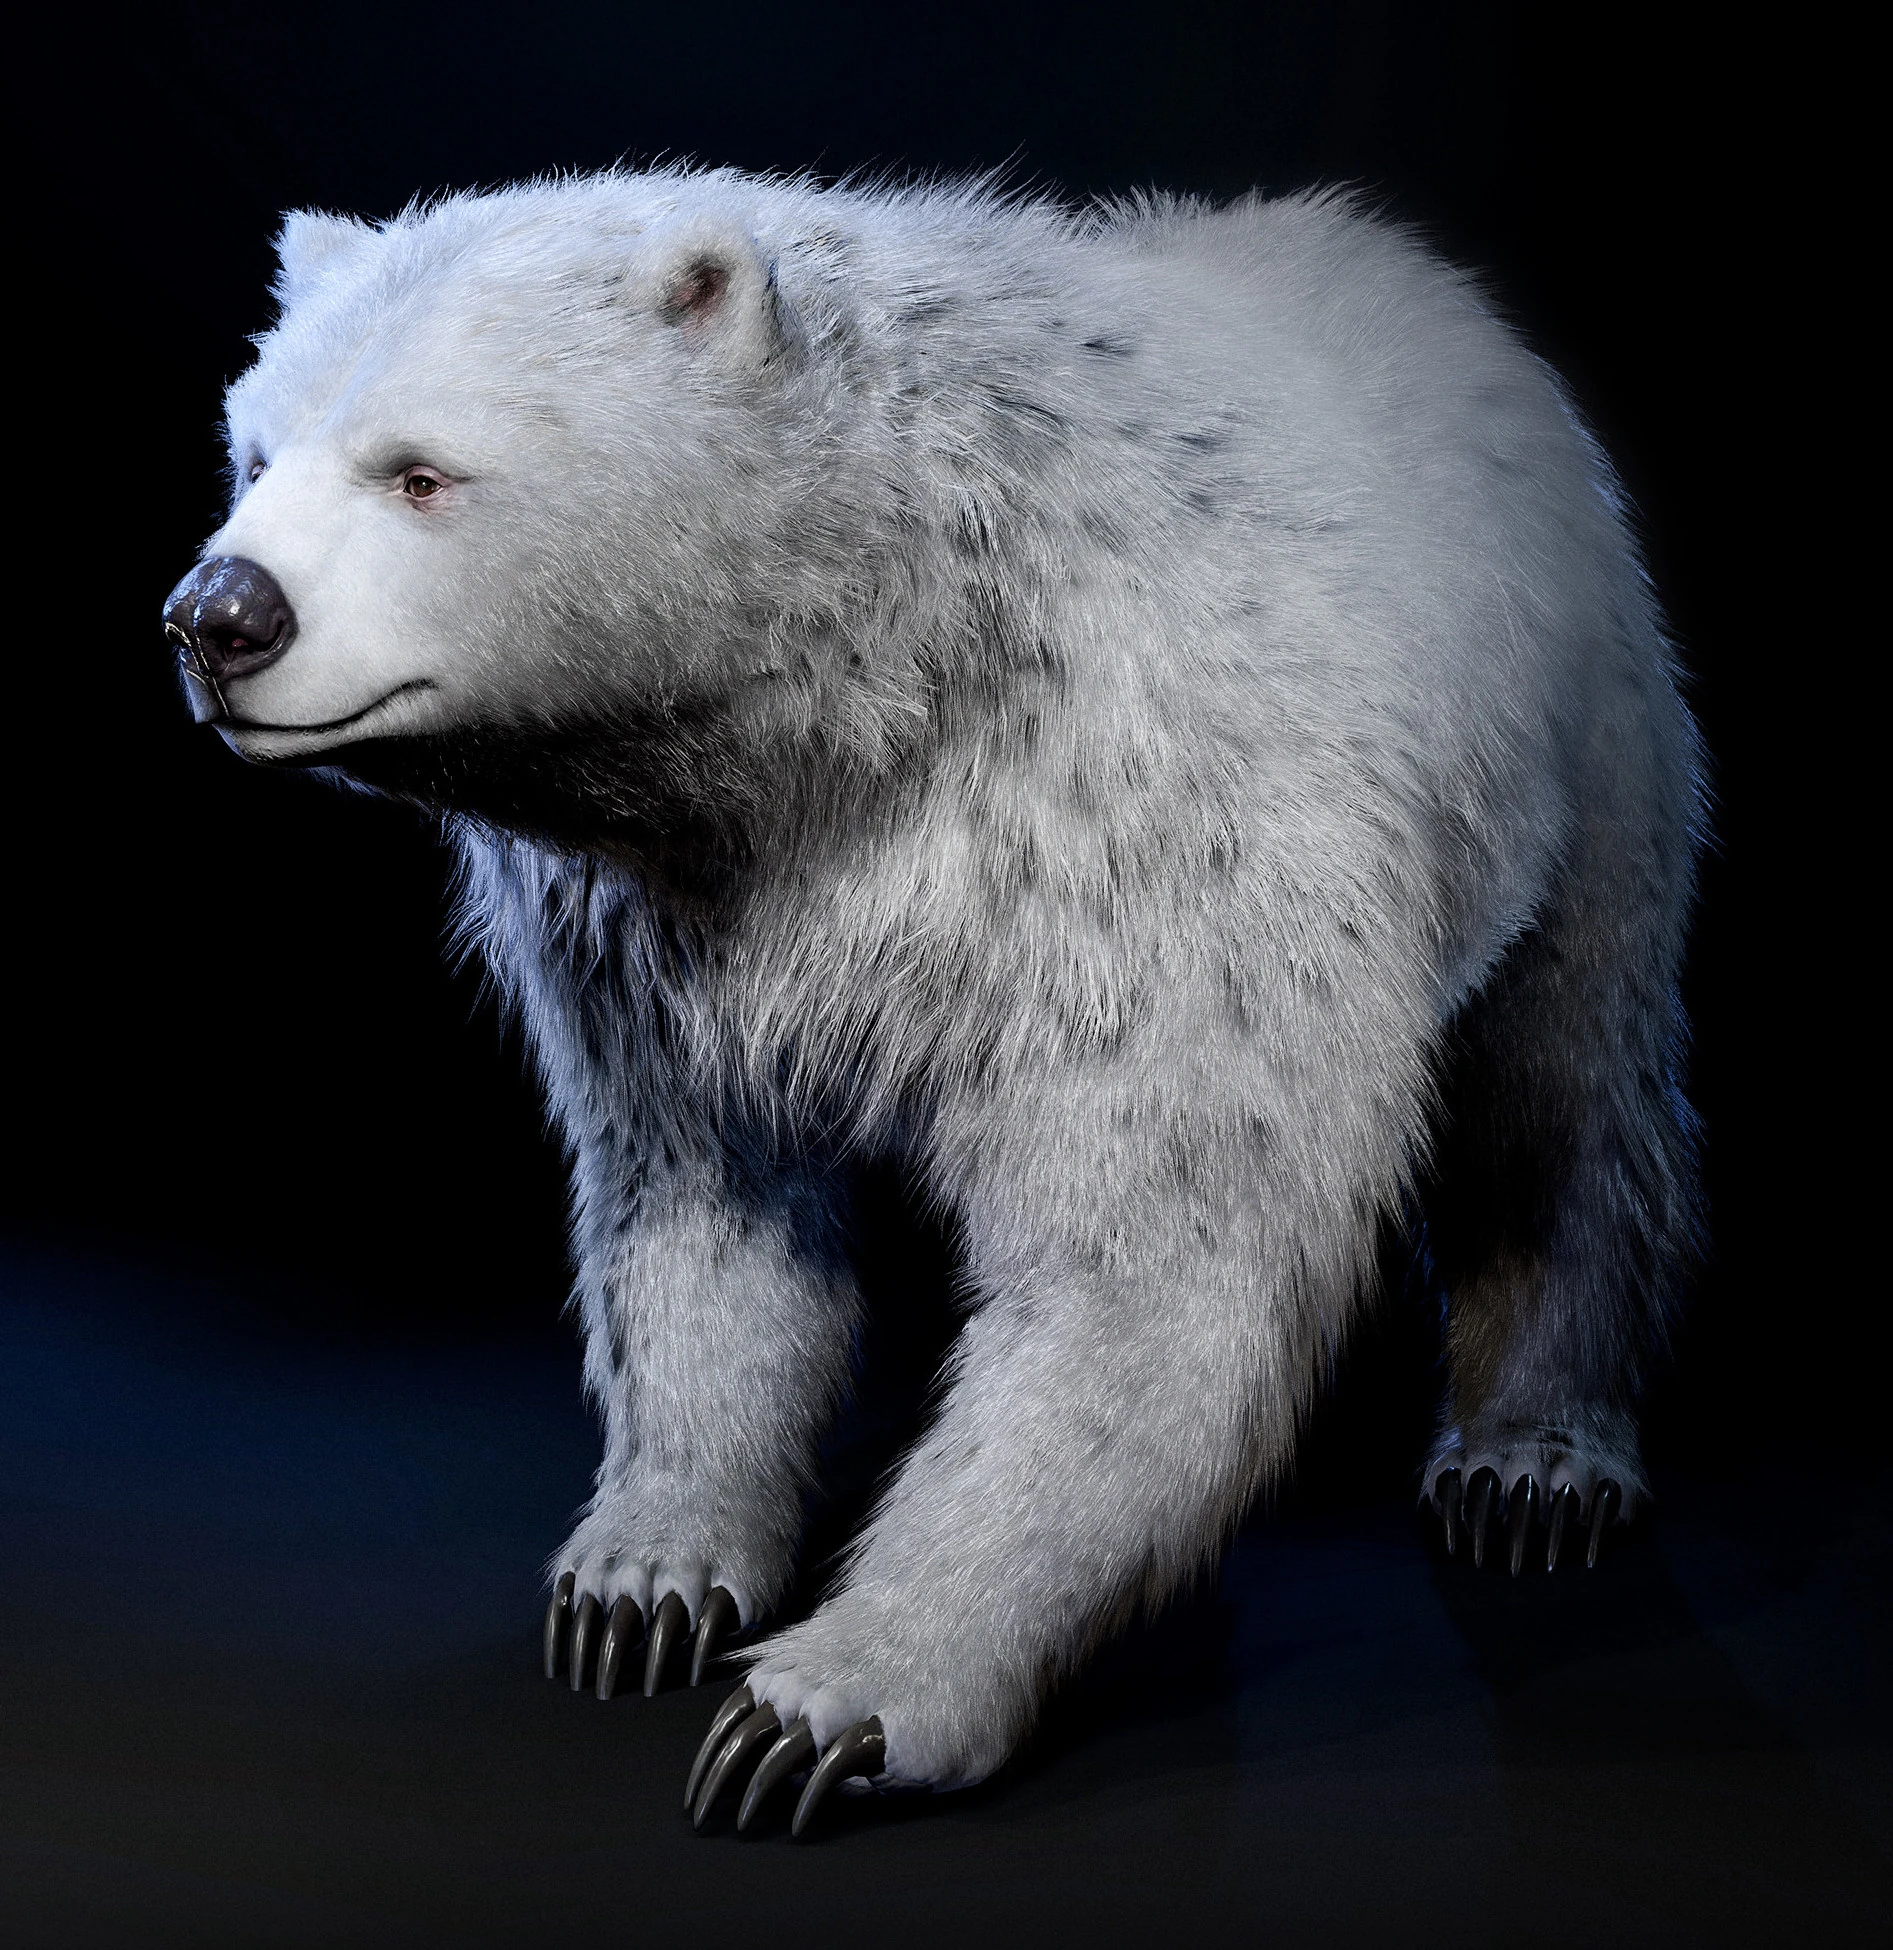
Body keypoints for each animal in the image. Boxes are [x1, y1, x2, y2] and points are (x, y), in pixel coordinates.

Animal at [161, 167, 1703, 1833]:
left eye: (421, 471)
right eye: (255, 450)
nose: (217, 614)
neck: (894, 653)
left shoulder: (1143, 817)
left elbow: (1150, 1254)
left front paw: (824, 1707)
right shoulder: (651, 926)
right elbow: (702, 1203)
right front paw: (640, 1580)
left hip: (1584, 727)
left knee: (1562, 1084)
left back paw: (1531, 1459)